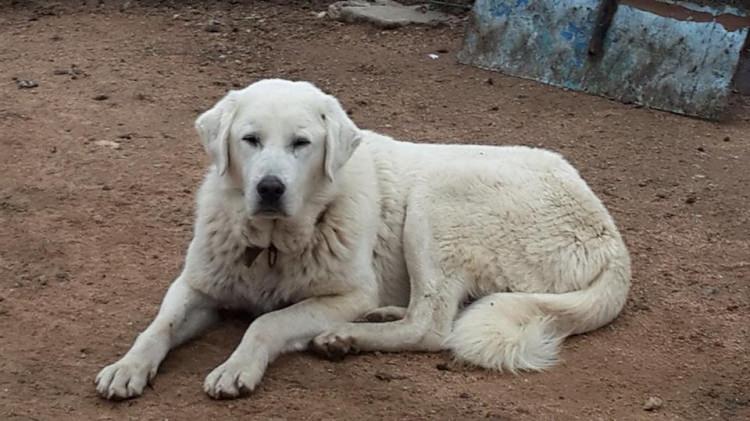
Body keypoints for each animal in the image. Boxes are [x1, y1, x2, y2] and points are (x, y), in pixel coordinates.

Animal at [95, 78, 636, 398]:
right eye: (249, 140)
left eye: (301, 143)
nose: (270, 188)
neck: (273, 244)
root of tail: (610, 237)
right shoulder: (197, 287)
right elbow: (158, 327)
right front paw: (128, 366)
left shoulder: (346, 294)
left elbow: (268, 323)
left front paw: (237, 367)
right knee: (428, 313)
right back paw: (373, 320)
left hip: (435, 201)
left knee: (432, 326)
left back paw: (347, 336)